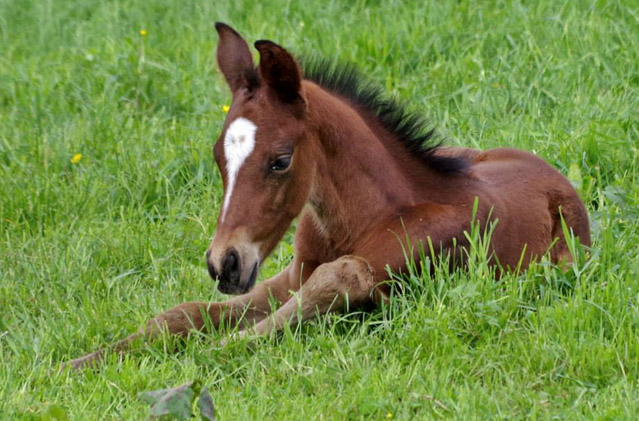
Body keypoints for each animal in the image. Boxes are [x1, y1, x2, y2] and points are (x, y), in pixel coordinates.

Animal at [65, 23, 592, 370]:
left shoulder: (391, 269)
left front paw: (202, 358)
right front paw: (77, 363)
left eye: (280, 160)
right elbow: (184, 313)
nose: (223, 263)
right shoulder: (289, 273)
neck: (363, 217)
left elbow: (334, 280)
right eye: (218, 157)